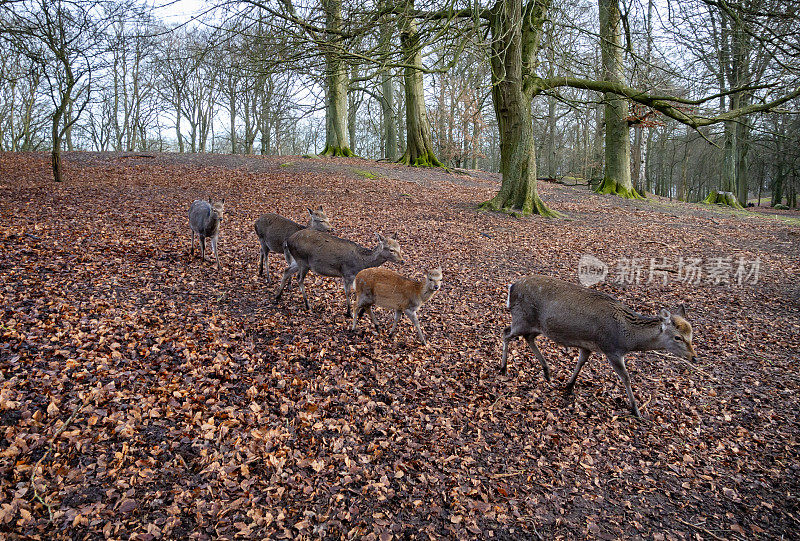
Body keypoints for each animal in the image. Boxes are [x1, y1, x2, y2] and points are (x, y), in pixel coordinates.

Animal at [276, 231, 406, 316]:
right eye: (391, 249)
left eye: (400, 247)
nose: (402, 261)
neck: (361, 263)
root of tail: (288, 240)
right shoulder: (347, 273)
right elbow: (348, 292)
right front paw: (349, 313)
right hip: (303, 260)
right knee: (299, 278)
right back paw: (307, 305)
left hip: (297, 261)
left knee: (286, 270)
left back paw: (278, 296)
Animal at [504, 274, 696, 418]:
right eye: (678, 337)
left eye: (692, 334)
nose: (694, 357)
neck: (627, 338)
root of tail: (512, 287)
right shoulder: (611, 349)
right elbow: (626, 377)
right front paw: (636, 410)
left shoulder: (587, 345)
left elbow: (581, 362)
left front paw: (569, 385)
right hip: (521, 318)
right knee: (505, 332)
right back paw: (503, 368)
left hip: (537, 326)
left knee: (528, 338)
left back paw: (547, 372)